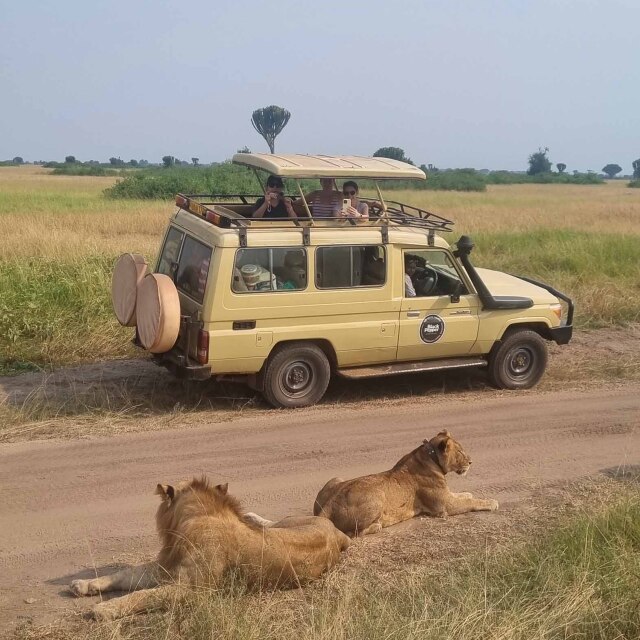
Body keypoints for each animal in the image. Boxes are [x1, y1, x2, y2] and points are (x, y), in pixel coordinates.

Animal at [70, 476, 350, 620]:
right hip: (284, 525)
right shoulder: (165, 568)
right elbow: (124, 574)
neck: (193, 519)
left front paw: (104, 609)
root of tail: (336, 532)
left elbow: (143, 596)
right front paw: (84, 584)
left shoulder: (192, 589)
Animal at [312, 430, 498, 536]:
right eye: (460, 452)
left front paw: (468, 493)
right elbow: (470, 502)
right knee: (354, 533)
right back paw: (378, 525)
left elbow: (463, 495)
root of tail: (327, 507)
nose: (471, 462)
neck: (430, 457)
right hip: (378, 494)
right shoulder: (445, 506)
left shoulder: (447, 495)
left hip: (337, 478)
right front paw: (491, 502)